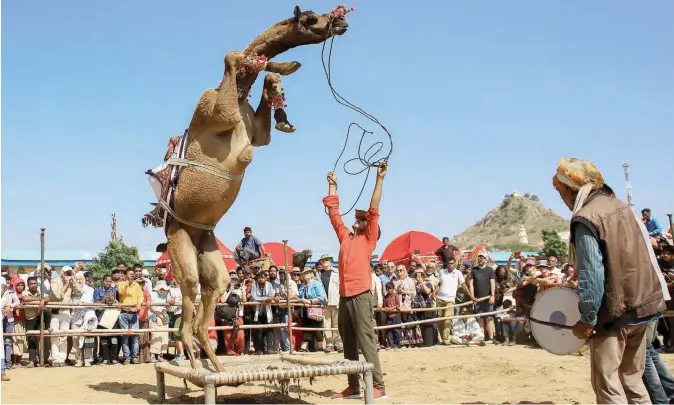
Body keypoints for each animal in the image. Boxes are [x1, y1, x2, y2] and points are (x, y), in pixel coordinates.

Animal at [155, 4, 350, 370]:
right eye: (309, 18)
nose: (341, 21)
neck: (234, 93)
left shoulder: (256, 136)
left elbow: (265, 109)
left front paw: (281, 90)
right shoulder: (217, 112)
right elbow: (232, 54)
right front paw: (272, 66)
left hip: (209, 251)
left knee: (207, 304)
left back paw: (213, 366)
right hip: (178, 245)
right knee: (186, 309)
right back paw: (194, 366)